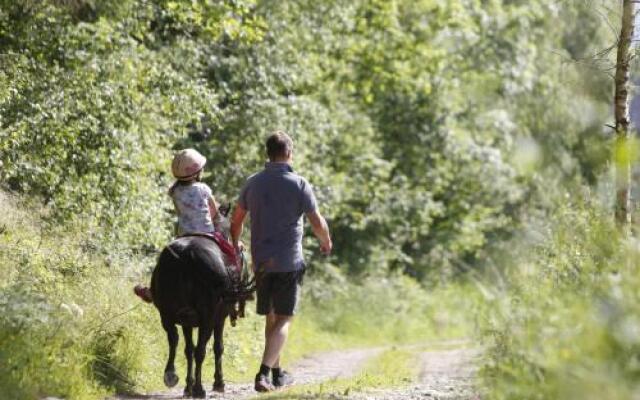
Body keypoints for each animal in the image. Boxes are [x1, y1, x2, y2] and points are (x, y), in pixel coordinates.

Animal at [152, 205, 252, 398]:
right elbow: (217, 347)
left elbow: (188, 350)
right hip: (207, 316)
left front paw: (187, 386)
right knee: (200, 350)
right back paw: (199, 389)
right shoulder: (218, 318)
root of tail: (185, 255)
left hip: (167, 313)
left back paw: (171, 375)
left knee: (174, 339)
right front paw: (218, 383)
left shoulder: (187, 322)